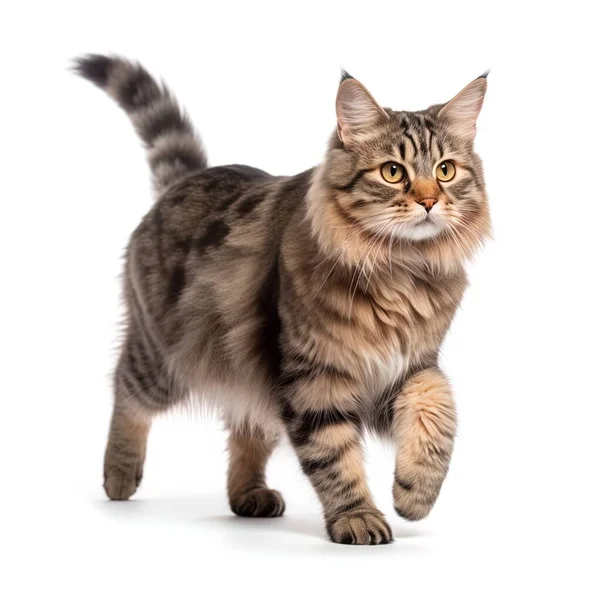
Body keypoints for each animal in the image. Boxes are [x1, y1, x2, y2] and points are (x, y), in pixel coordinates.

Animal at [75, 55, 490, 544]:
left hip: (250, 369)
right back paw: (119, 475)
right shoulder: (315, 376)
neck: (401, 270)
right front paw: (358, 518)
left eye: (445, 170)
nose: (429, 202)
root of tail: (186, 180)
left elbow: (438, 409)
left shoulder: (410, 367)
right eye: (393, 172)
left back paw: (248, 496)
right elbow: (334, 456)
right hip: (164, 359)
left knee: (245, 428)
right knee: (125, 389)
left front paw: (415, 495)